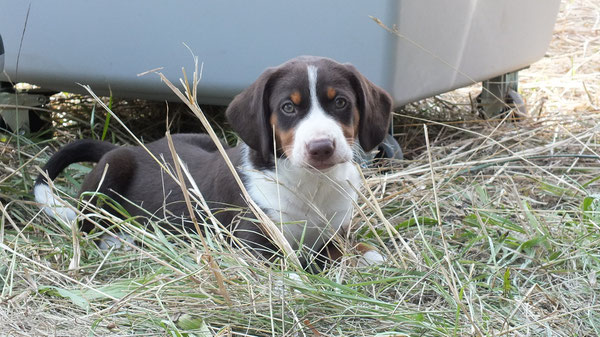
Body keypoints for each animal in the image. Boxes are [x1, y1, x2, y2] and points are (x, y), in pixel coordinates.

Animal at [35, 56, 392, 270]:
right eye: (288, 108)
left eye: (341, 102)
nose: (321, 148)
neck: (312, 184)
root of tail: (135, 147)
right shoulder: (254, 242)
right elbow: (288, 263)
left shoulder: (335, 229)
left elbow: (345, 246)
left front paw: (368, 254)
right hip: (111, 170)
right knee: (86, 225)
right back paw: (119, 240)